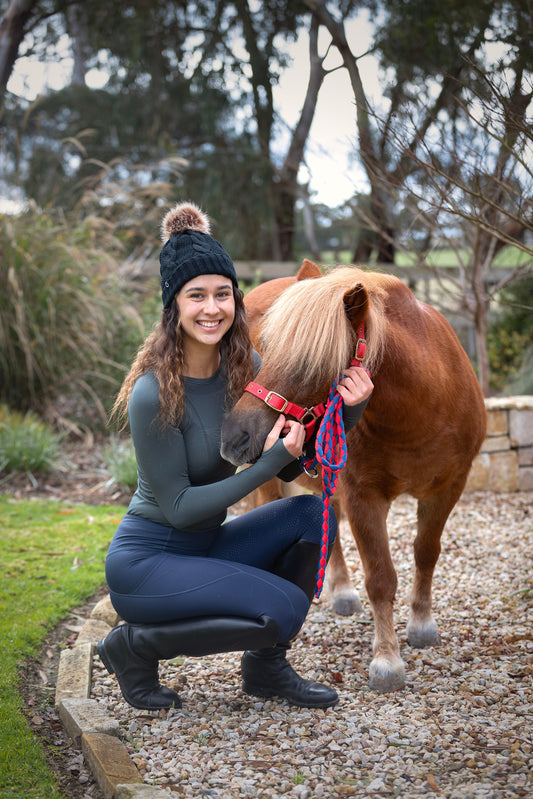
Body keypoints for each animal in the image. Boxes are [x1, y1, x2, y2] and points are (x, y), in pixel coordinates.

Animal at [220, 260, 486, 692]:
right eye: (265, 349)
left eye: (311, 364)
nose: (234, 437)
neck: (421, 407)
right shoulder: (364, 496)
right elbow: (380, 577)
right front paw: (388, 661)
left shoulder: (448, 488)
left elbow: (426, 553)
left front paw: (422, 625)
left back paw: (341, 592)